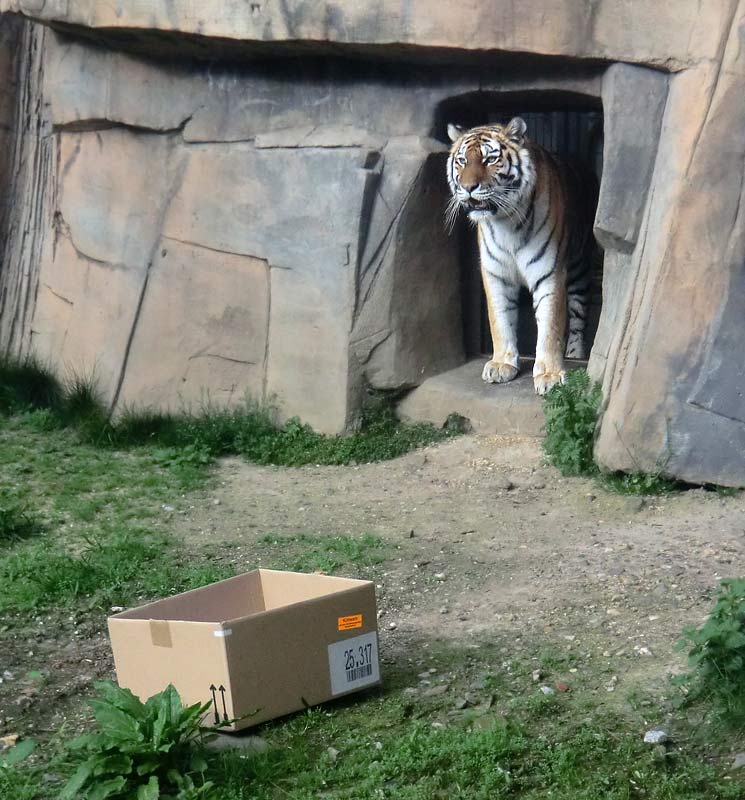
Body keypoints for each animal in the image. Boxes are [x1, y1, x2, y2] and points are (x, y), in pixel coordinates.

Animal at [444, 115, 596, 394]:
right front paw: (502, 364)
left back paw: (575, 354)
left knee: (579, 316)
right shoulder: (496, 274)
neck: (505, 223)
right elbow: (500, 320)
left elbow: (550, 326)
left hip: (579, 267)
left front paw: (549, 375)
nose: (468, 187)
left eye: (489, 159)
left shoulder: (550, 273)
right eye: (462, 161)